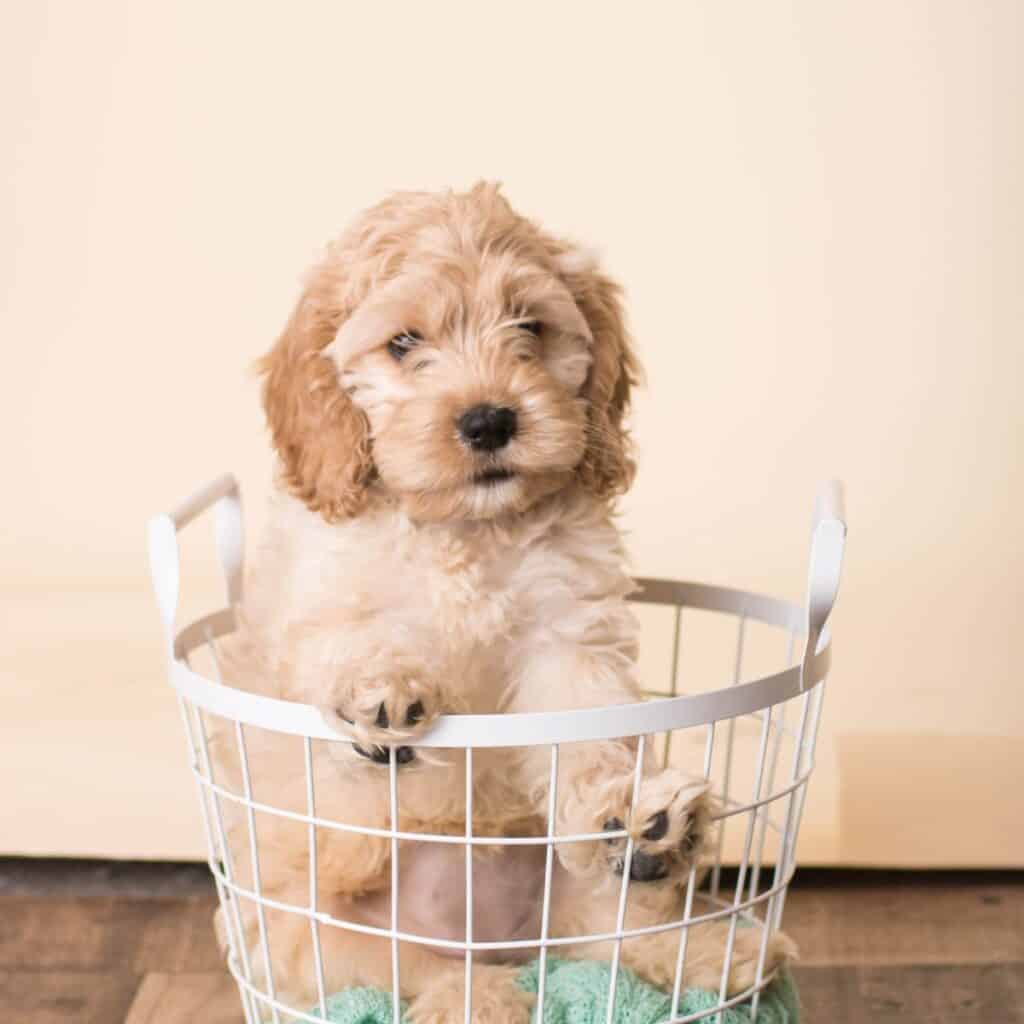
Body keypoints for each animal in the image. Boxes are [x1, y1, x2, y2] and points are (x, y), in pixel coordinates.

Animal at [211, 186, 794, 1024]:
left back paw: (691, 907)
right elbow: (347, 645)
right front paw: (381, 693)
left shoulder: (567, 632)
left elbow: (586, 733)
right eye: (403, 342)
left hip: (567, 911)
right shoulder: (312, 611)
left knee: (612, 934)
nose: (489, 420)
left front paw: (616, 803)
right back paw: (478, 1000)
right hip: (320, 943)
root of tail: (494, 942)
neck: (465, 528)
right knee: (421, 977)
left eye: (529, 326)